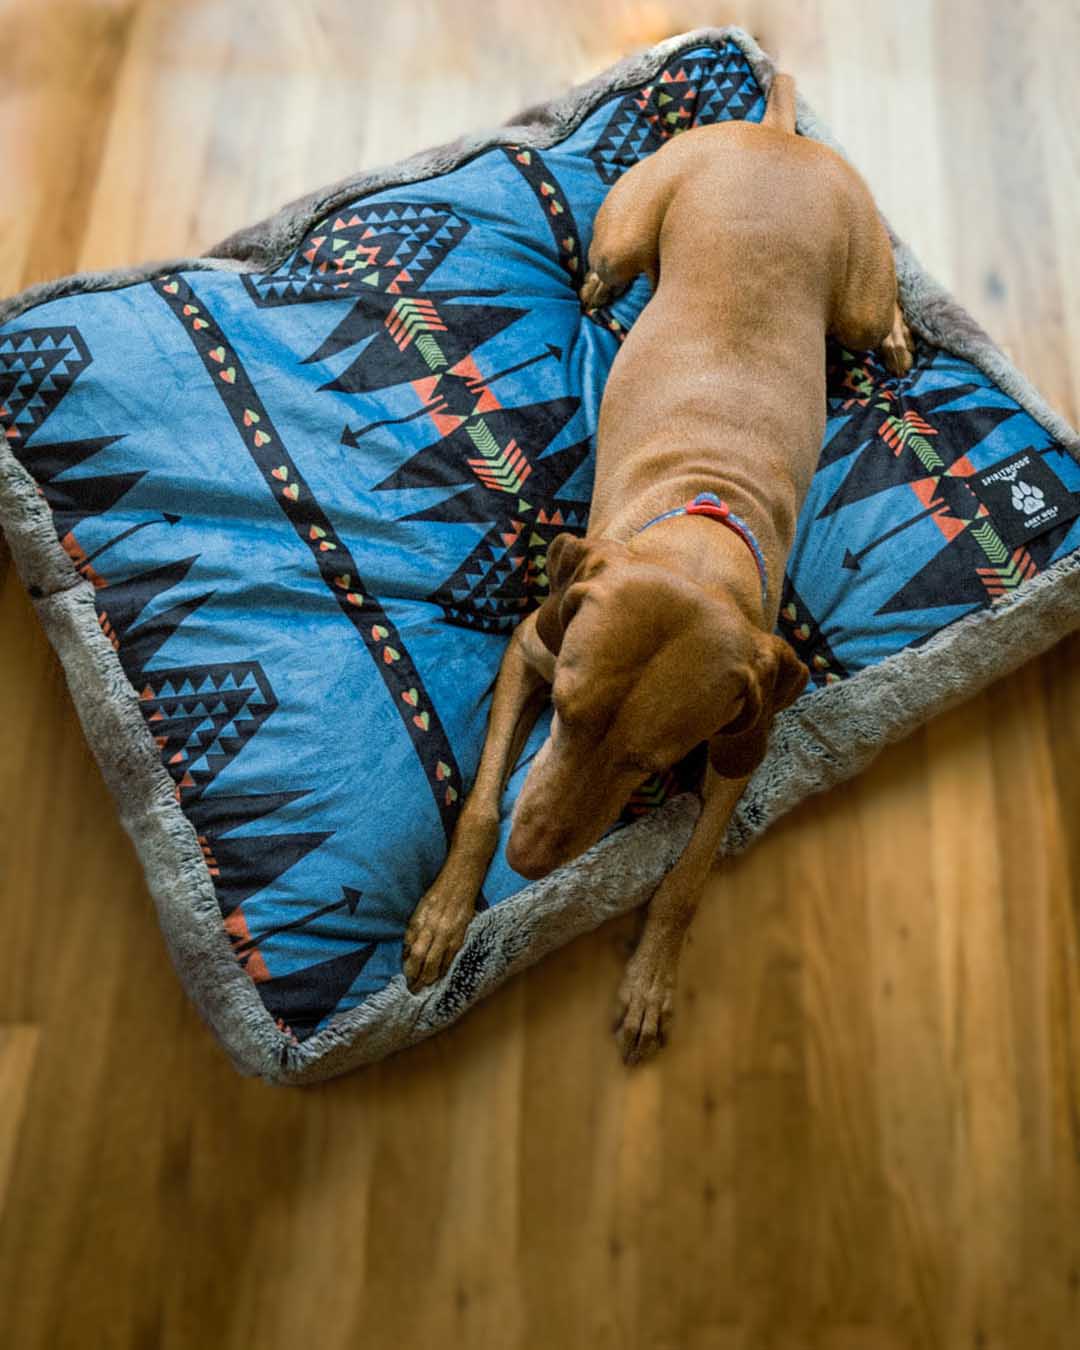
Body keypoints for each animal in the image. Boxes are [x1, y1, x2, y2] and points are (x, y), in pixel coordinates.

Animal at [402, 73, 912, 1063]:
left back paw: (906, 339)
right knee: (609, 263)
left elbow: (688, 876)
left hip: (858, 297)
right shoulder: (533, 646)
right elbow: (478, 803)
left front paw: (650, 979)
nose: (527, 863)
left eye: (650, 763)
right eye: (563, 712)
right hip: (630, 227)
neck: (700, 531)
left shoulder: (743, 742)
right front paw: (445, 915)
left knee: (884, 310)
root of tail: (775, 136)